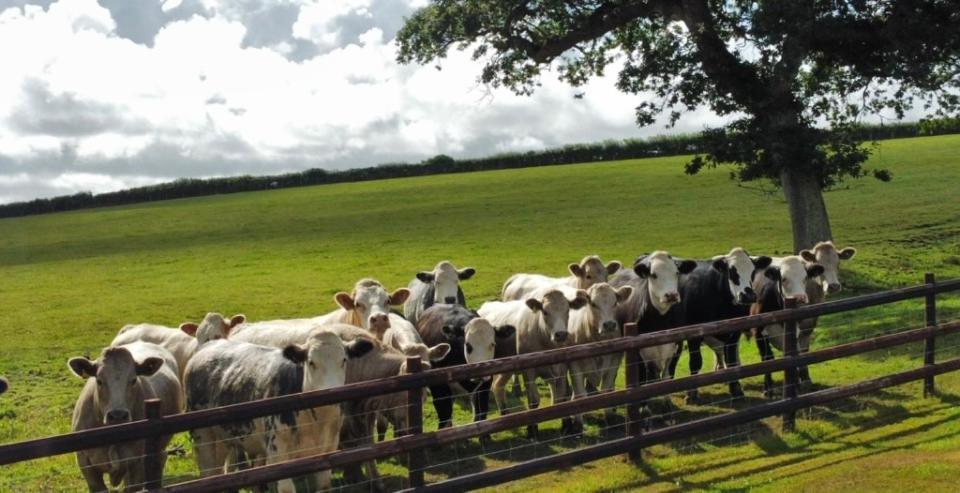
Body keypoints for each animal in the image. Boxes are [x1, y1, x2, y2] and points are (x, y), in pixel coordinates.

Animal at [67, 342, 182, 492]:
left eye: (133, 380)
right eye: (99, 380)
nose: (118, 415)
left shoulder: (137, 463)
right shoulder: (86, 464)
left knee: (160, 460)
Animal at [478, 286, 588, 436]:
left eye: (567, 310)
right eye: (545, 312)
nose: (561, 334)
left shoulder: (561, 369)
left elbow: (561, 399)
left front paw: (566, 426)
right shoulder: (528, 371)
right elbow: (533, 401)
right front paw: (532, 429)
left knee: (497, 385)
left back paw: (505, 414)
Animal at [676, 248, 772, 402]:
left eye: (753, 272)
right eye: (732, 272)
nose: (748, 296)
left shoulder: (734, 333)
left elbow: (731, 360)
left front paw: (736, 390)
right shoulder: (693, 334)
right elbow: (696, 361)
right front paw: (691, 393)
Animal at [752, 256, 824, 398]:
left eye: (805, 277)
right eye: (784, 278)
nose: (800, 298)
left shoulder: (794, 332)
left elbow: (792, 356)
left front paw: (795, 386)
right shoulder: (759, 333)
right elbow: (767, 358)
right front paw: (767, 389)